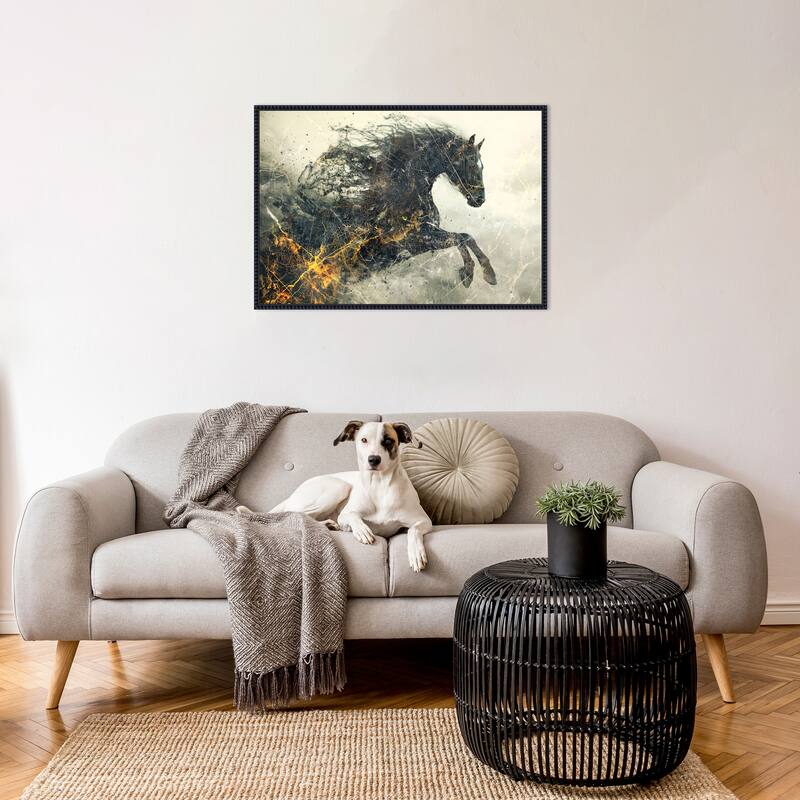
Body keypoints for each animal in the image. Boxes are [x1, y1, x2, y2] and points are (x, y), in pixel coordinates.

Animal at [258, 116, 496, 304]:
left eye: (482, 165)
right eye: (469, 161)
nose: (479, 199)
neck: (406, 196)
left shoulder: (420, 242)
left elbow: (464, 236)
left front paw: (482, 274)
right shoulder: (414, 239)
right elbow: (462, 237)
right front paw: (474, 274)